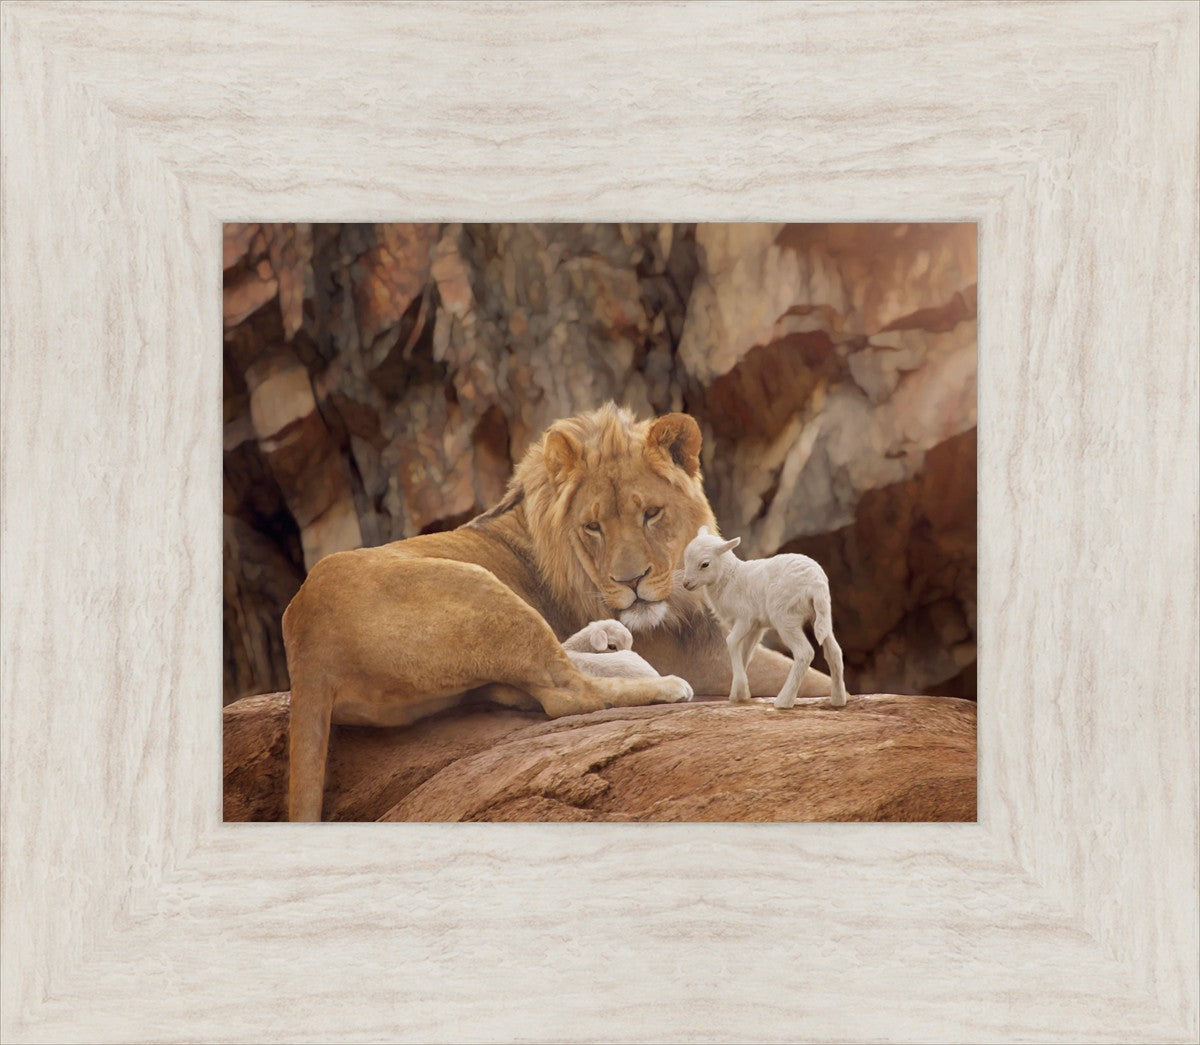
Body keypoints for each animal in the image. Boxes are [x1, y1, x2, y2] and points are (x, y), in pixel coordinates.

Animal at [681, 526, 848, 710]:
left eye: (705, 564)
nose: (686, 584)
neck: (730, 578)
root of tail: (816, 583)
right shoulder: (756, 626)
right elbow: (745, 652)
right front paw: (739, 694)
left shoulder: (745, 618)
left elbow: (731, 642)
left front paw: (740, 690)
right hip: (821, 614)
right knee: (834, 651)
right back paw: (838, 700)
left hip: (785, 616)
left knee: (804, 652)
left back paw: (784, 701)